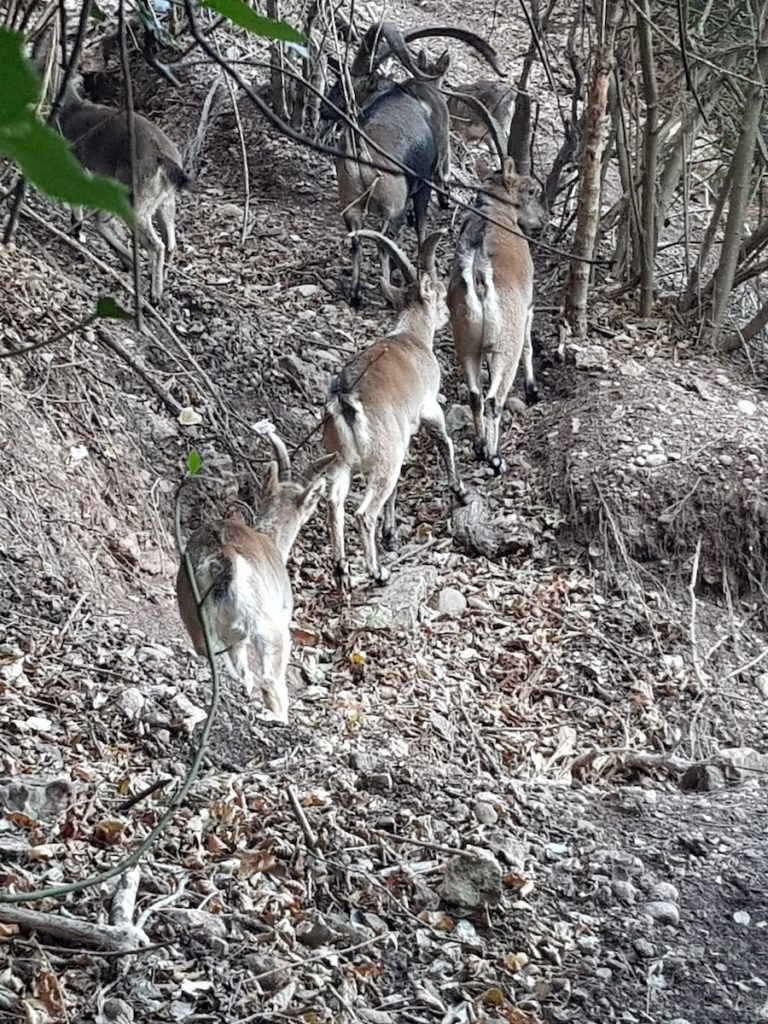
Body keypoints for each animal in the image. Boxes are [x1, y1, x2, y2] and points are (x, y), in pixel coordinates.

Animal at [57, 74, 189, 301]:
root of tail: (164, 160)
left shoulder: (76, 162)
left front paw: (76, 231)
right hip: (163, 200)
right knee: (170, 242)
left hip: (134, 194)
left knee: (156, 244)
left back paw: (153, 293)